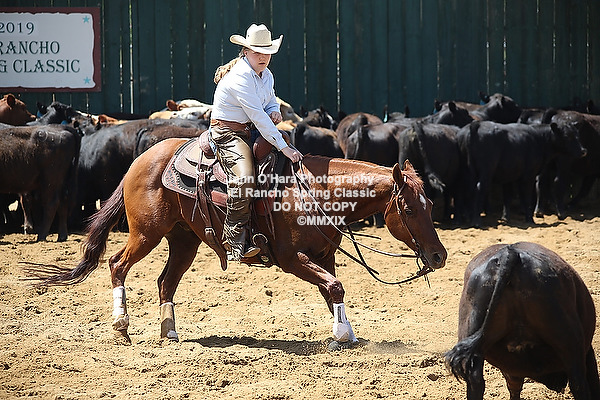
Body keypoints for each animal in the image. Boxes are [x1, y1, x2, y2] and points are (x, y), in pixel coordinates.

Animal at [26, 137, 447, 347]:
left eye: (430, 205)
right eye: (410, 209)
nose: (440, 256)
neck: (314, 191)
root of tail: (140, 160)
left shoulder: (324, 256)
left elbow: (333, 291)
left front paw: (348, 333)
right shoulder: (292, 257)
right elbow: (335, 287)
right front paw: (342, 336)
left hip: (184, 241)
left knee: (165, 282)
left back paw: (170, 332)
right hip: (146, 233)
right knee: (117, 265)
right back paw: (122, 326)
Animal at [456, 120, 587, 226]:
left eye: (577, 135)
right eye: (567, 136)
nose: (583, 151)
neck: (539, 139)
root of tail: (476, 124)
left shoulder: (508, 174)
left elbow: (508, 196)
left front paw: (505, 217)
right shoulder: (529, 175)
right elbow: (526, 196)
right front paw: (530, 219)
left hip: (467, 171)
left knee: (467, 189)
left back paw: (469, 217)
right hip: (486, 170)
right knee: (479, 189)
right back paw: (476, 221)